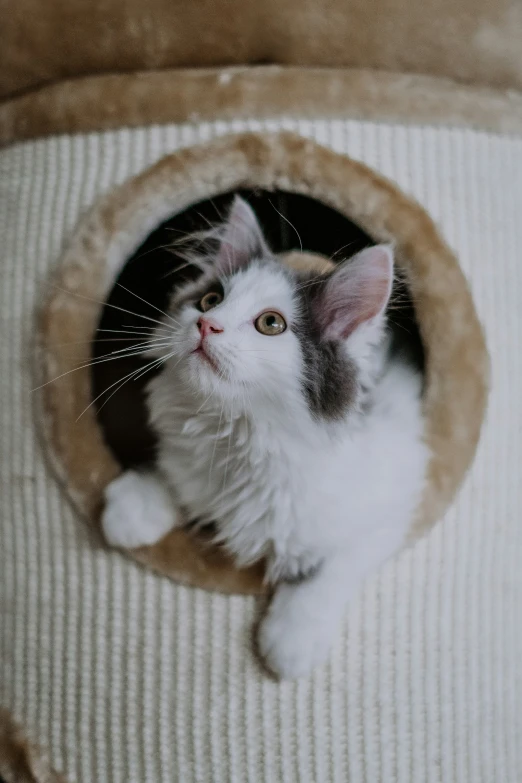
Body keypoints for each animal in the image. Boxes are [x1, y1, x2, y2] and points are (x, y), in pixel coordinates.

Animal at [101, 196, 426, 680]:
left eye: (270, 323)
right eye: (210, 300)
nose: (206, 324)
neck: (241, 434)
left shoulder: (390, 502)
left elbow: (330, 569)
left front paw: (291, 643)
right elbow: (174, 474)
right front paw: (131, 511)